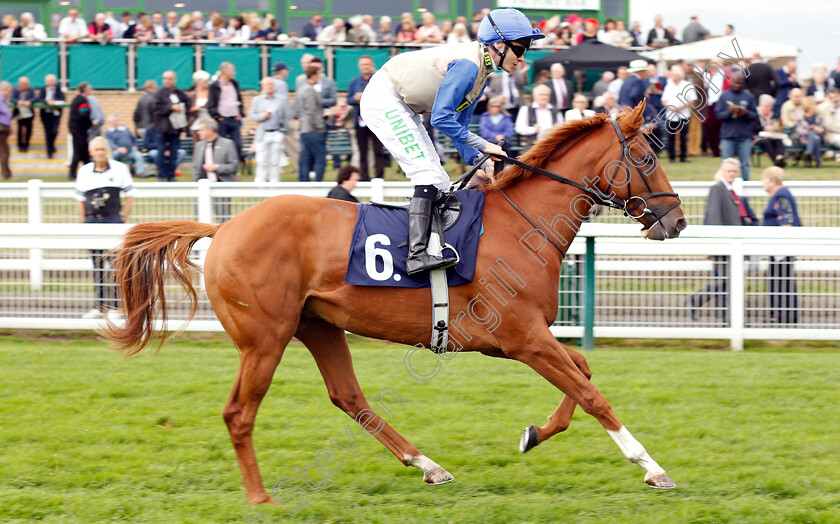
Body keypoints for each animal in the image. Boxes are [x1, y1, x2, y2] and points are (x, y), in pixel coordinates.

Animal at [103, 100, 684, 506]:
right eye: (647, 157)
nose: (676, 221)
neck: (522, 225)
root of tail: (222, 228)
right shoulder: (523, 339)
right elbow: (591, 394)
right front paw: (652, 467)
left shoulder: (523, 339)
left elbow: (582, 372)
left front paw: (535, 434)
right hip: (264, 339)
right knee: (239, 413)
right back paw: (261, 497)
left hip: (317, 325)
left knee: (349, 398)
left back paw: (427, 464)